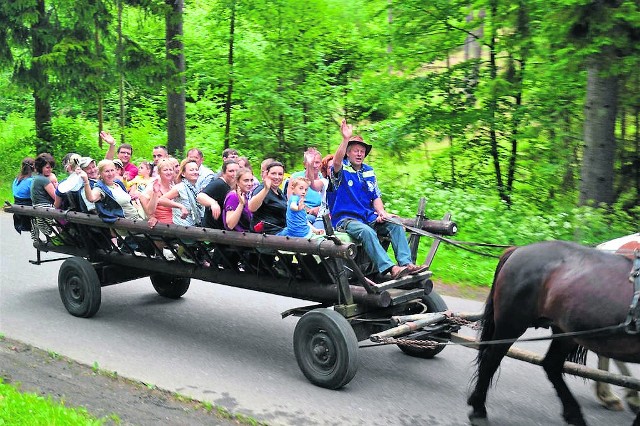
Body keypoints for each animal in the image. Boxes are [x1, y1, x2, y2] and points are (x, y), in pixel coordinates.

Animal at [464, 241, 640, 424]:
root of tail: (518, 249)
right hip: (511, 325)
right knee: (490, 359)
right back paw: (478, 409)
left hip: (566, 333)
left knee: (551, 365)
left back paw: (575, 414)